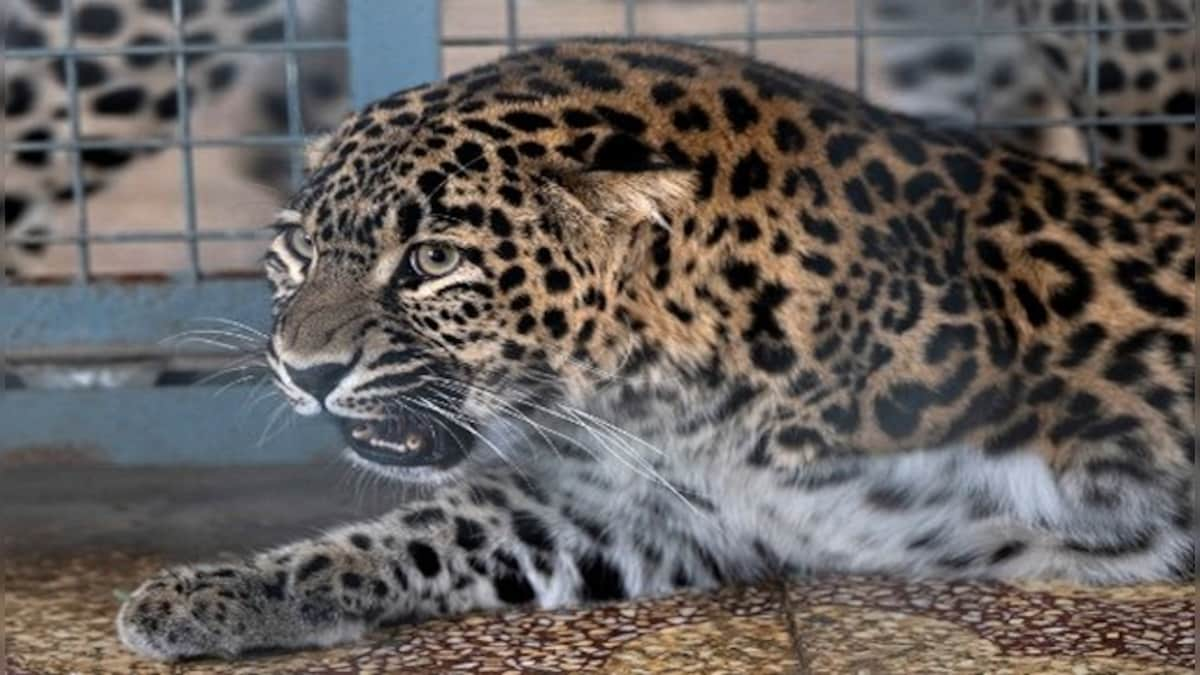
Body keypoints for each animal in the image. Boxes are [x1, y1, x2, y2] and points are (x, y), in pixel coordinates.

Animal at [110, 36, 1190, 658]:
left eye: (432, 260)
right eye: (296, 252)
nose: (306, 372)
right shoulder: (636, 510)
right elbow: (414, 534)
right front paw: (212, 594)